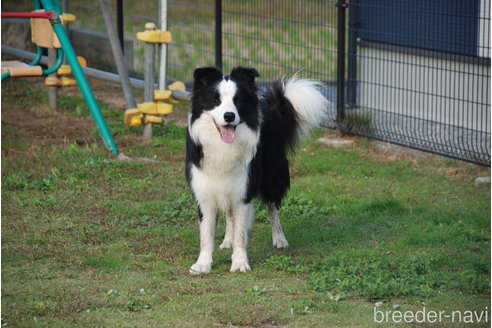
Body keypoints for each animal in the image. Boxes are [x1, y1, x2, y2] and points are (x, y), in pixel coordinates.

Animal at [186, 66, 328, 274]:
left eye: (237, 100)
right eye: (216, 100)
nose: (229, 116)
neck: (222, 147)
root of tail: (270, 108)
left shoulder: (244, 189)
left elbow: (240, 230)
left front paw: (239, 262)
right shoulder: (205, 192)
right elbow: (206, 234)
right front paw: (203, 264)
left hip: (272, 177)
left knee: (273, 208)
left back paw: (279, 239)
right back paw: (227, 240)